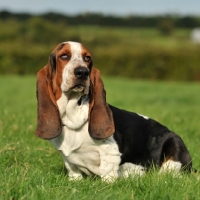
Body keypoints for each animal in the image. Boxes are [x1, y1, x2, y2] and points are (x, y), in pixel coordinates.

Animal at [35, 41, 192, 181]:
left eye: (87, 58)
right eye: (64, 56)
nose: (82, 72)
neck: (72, 116)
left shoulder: (110, 152)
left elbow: (107, 172)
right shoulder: (68, 158)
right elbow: (73, 171)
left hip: (174, 145)